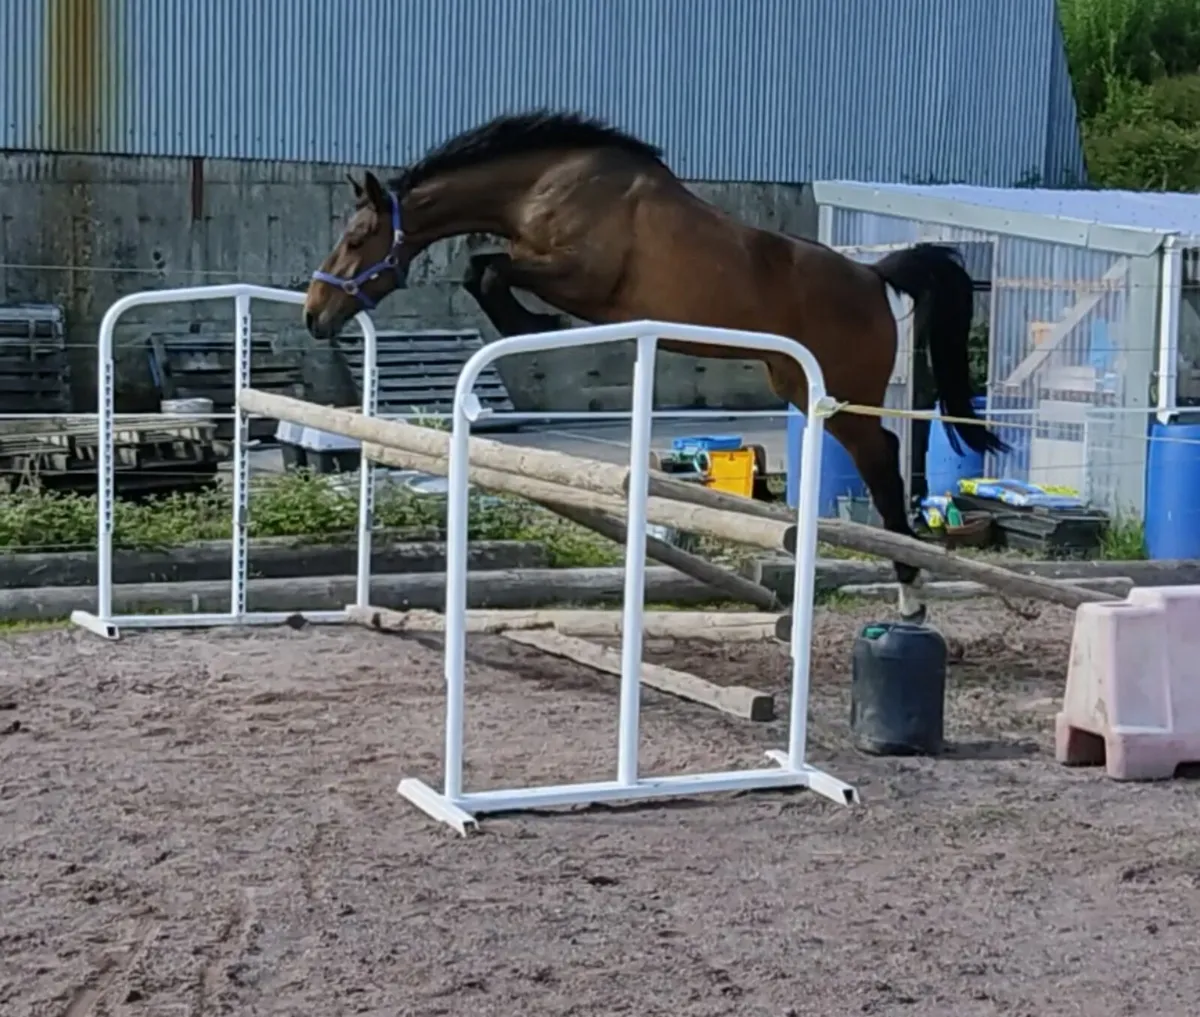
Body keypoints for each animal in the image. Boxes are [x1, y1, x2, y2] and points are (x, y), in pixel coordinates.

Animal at [303, 109, 1009, 624]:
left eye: (357, 238)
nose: (314, 312)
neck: (545, 186)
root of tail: (872, 274)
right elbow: (483, 267)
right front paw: (532, 326)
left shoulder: (577, 276)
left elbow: (489, 271)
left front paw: (533, 327)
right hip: (797, 382)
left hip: (842, 394)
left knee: (884, 462)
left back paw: (912, 595)